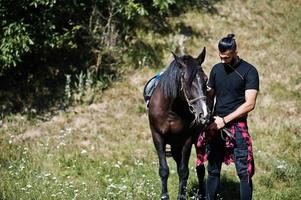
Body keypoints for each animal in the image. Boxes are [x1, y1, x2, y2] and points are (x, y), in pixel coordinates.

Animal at [145, 47, 209, 199]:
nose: (204, 114)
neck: (171, 110)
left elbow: (184, 170)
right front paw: (164, 196)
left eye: (205, 79)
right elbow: (164, 169)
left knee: (200, 168)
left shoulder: (187, 139)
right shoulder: (157, 137)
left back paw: (202, 194)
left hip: (198, 140)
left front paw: (181, 196)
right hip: (174, 146)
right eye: (186, 80)